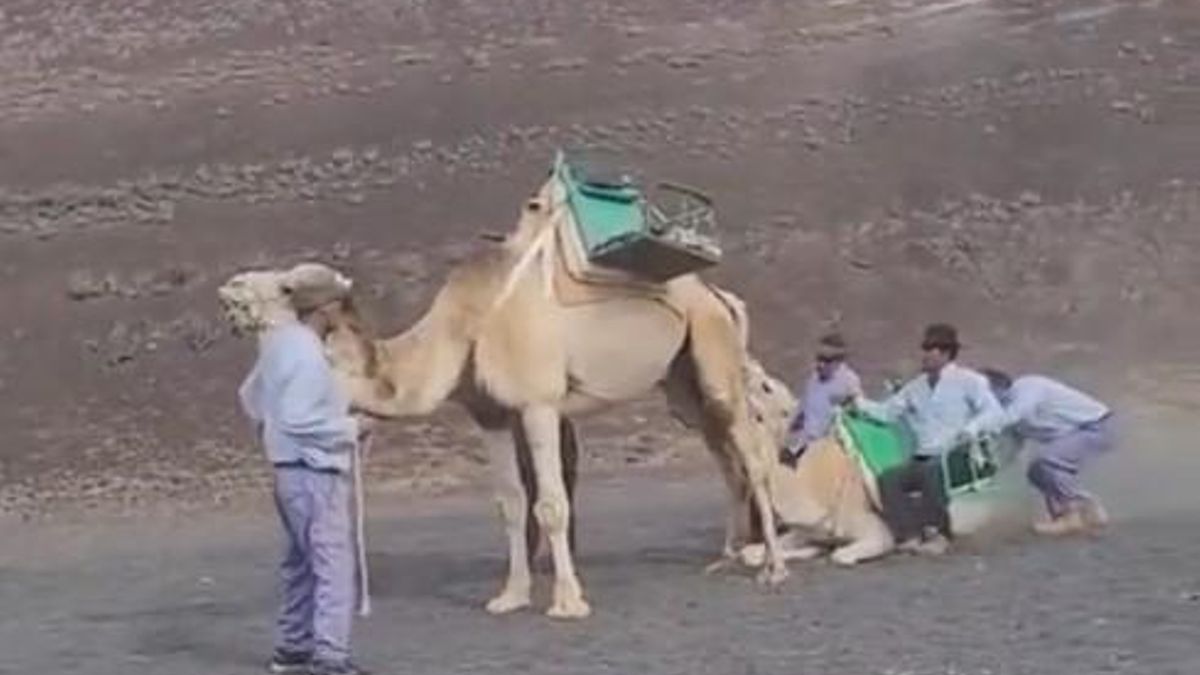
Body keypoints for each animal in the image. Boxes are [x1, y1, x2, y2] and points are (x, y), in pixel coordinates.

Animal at [217, 177, 788, 619]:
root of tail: (723, 297)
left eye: (285, 287)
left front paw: (567, 602)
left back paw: (773, 568)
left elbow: (551, 503)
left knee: (753, 455)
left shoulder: (538, 404)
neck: (463, 328)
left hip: (715, 354)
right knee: (725, 455)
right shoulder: (489, 413)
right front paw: (510, 596)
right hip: (681, 385)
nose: (231, 293)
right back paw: (726, 556)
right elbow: (510, 503)